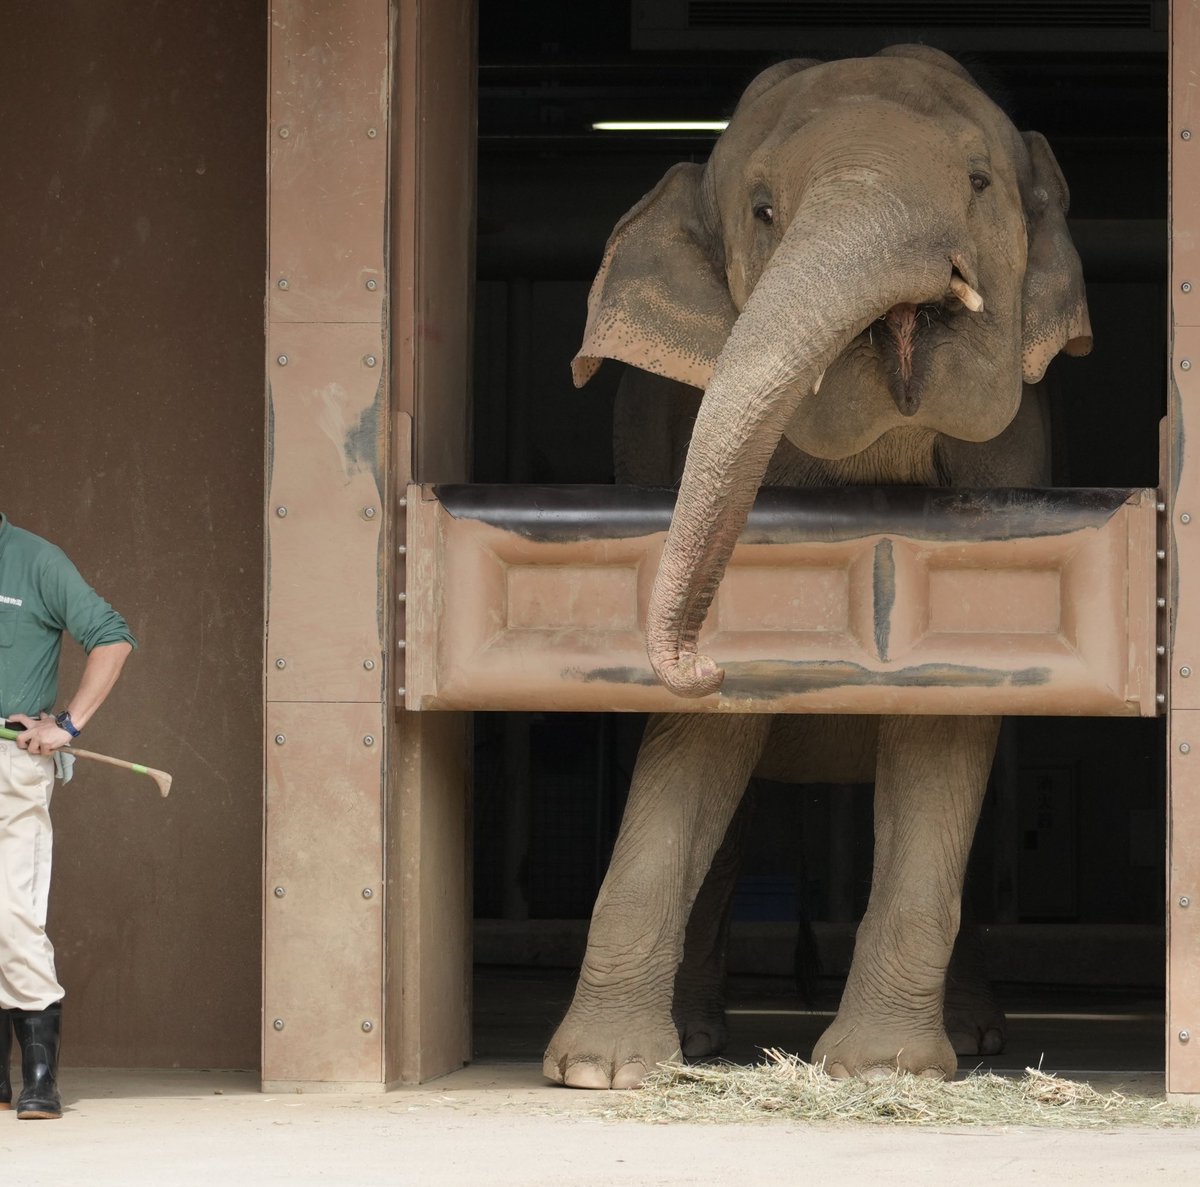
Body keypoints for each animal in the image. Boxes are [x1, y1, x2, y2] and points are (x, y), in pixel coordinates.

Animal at [544, 44, 1089, 1094]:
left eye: (979, 181)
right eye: (762, 210)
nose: (696, 661)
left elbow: (945, 727)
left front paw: (882, 1071)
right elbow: (699, 745)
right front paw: (602, 1073)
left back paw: (976, 1037)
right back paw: (700, 1036)